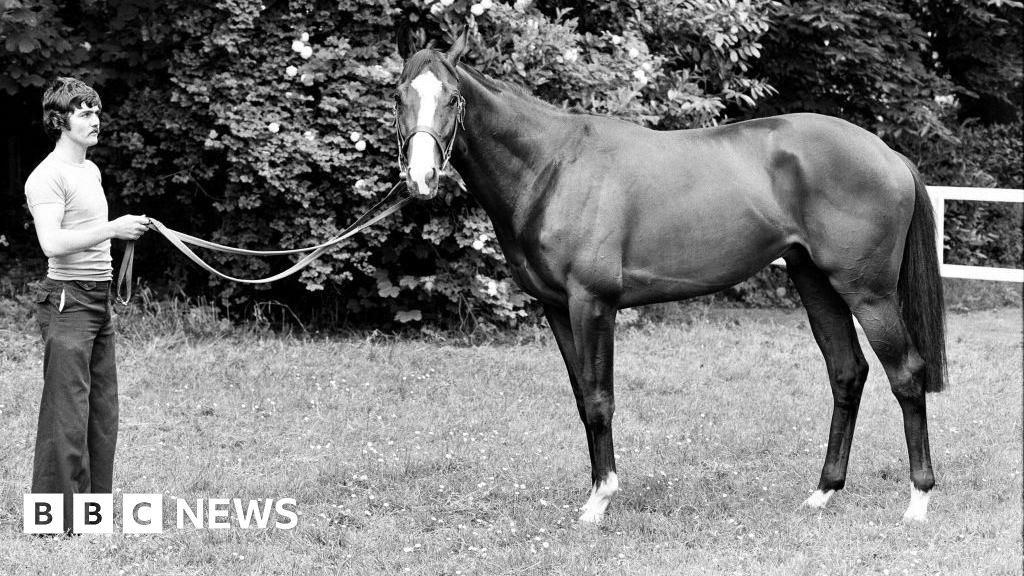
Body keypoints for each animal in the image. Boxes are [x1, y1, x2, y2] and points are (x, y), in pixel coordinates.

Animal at [389, 32, 942, 524]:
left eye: (453, 98)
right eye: (399, 96)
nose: (421, 178)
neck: (553, 167)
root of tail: (888, 155)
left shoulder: (592, 304)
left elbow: (599, 399)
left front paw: (600, 500)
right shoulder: (557, 309)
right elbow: (581, 399)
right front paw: (594, 491)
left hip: (867, 292)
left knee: (906, 374)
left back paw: (918, 501)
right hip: (815, 282)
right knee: (847, 373)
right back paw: (823, 493)